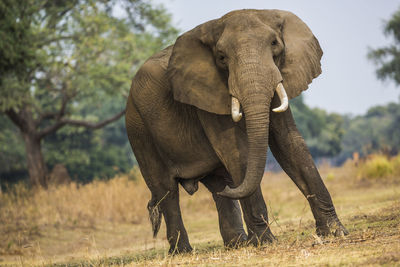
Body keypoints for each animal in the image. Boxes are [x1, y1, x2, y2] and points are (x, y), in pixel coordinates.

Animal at [125, 8, 346, 255]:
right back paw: (183, 252)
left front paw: (335, 232)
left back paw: (237, 243)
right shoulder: (206, 94)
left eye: (274, 44)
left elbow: (289, 144)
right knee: (166, 190)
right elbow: (236, 150)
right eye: (221, 57)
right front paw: (264, 243)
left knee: (219, 184)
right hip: (138, 128)